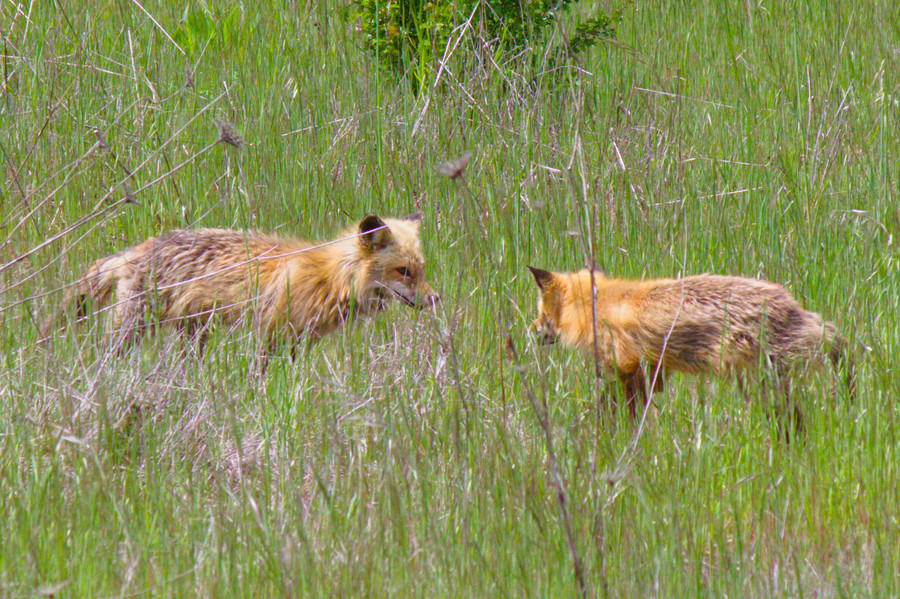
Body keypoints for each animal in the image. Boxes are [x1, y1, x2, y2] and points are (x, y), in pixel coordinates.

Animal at [40, 213, 439, 355]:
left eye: (420, 270)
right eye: (403, 271)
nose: (435, 299)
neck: (329, 276)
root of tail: (137, 250)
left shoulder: (297, 342)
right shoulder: (270, 334)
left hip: (192, 334)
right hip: (133, 328)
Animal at [526, 266, 854, 422]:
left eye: (540, 312)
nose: (530, 331)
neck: (598, 306)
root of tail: (796, 308)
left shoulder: (628, 367)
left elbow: (621, 408)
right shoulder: (654, 371)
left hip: (761, 380)